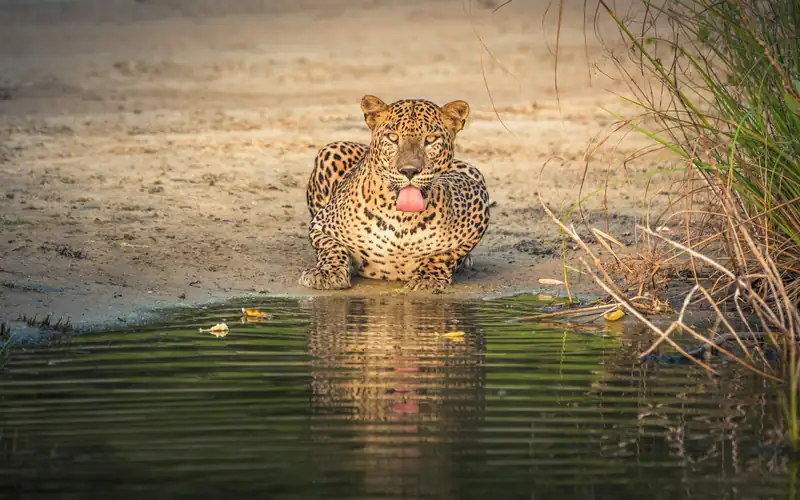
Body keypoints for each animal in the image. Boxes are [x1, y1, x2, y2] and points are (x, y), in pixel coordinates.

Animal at [298, 94, 490, 291]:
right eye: (392, 137)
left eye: (430, 139)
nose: (409, 171)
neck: (401, 219)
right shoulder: (321, 225)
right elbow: (332, 247)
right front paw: (327, 273)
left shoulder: (477, 202)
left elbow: (445, 254)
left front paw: (428, 278)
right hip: (331, 150)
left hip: (473, 171)